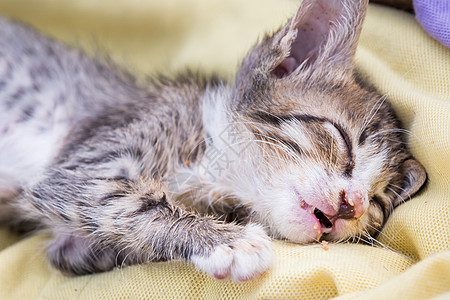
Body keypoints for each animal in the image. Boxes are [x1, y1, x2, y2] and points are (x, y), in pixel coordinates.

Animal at [0, 0, 426, 282]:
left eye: (377, 202)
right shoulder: (85, 164)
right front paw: (230, 242)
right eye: (341, 140)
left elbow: (81, 247)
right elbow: (132, 202)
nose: (353, 204)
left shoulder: (71, 241)